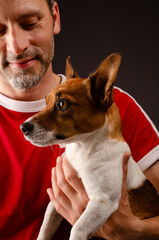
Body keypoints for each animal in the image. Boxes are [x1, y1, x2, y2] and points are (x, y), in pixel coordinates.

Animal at [20, 53, 159, 240]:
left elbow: (77, 229)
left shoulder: (102, 201)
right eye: (45, 100)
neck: (83, 148)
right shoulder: (55, 201)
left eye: (62, 104)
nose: (23, 127)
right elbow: (46, 226)